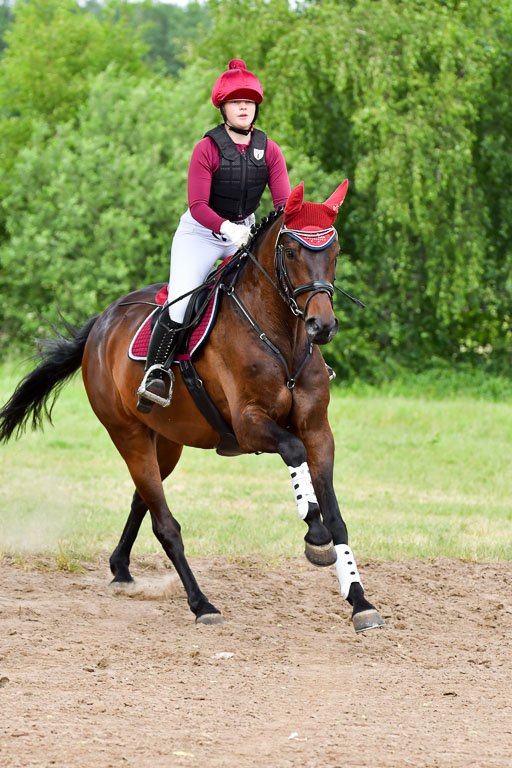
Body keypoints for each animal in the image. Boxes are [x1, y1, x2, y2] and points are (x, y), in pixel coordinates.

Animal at [0, 181, 384, 633]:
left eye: (334, 251)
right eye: (291, 252)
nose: (321, 327)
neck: (282, 339)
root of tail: (101, 324)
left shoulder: (318, 430)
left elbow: (337, 517)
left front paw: (359, 600)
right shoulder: (250, 426)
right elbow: (295, 456)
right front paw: (315, 535)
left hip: (167, 441)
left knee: (143, 498)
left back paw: (121, 569)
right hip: (128, 435)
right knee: (164, 523)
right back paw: (202, 604)